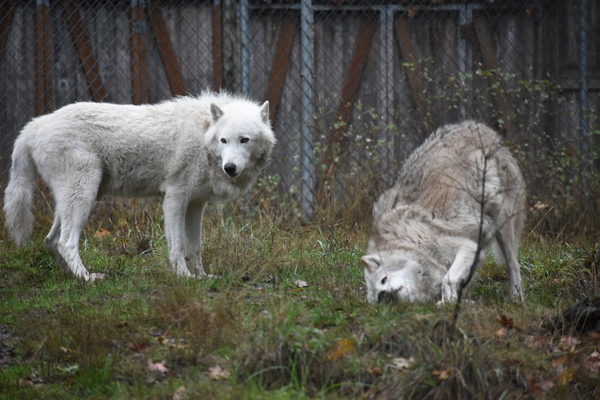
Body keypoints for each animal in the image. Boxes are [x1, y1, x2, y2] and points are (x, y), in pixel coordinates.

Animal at [3, 92, 275, 281]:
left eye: (244, 140)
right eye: (223, 140)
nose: (229, 167)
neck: (203, 136)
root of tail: (36, 124)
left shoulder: (196, 204)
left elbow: (195, 247)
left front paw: (202, 276)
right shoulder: (175, 198)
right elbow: (178, 246)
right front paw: (184, 277)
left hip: (72, 200)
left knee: (50, 240)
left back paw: (71, 277)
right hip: (83, 196)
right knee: (65, 242)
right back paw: (87, 278)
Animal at [362, 121, 526, 304]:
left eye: (383, 280)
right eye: (377, 298)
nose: (383, 294)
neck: (408, 243)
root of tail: (479, 126)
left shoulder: (469, 247)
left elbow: (447, 279)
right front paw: (451, 303)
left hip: (502, 223)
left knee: (513, 264)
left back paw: (516, 298)